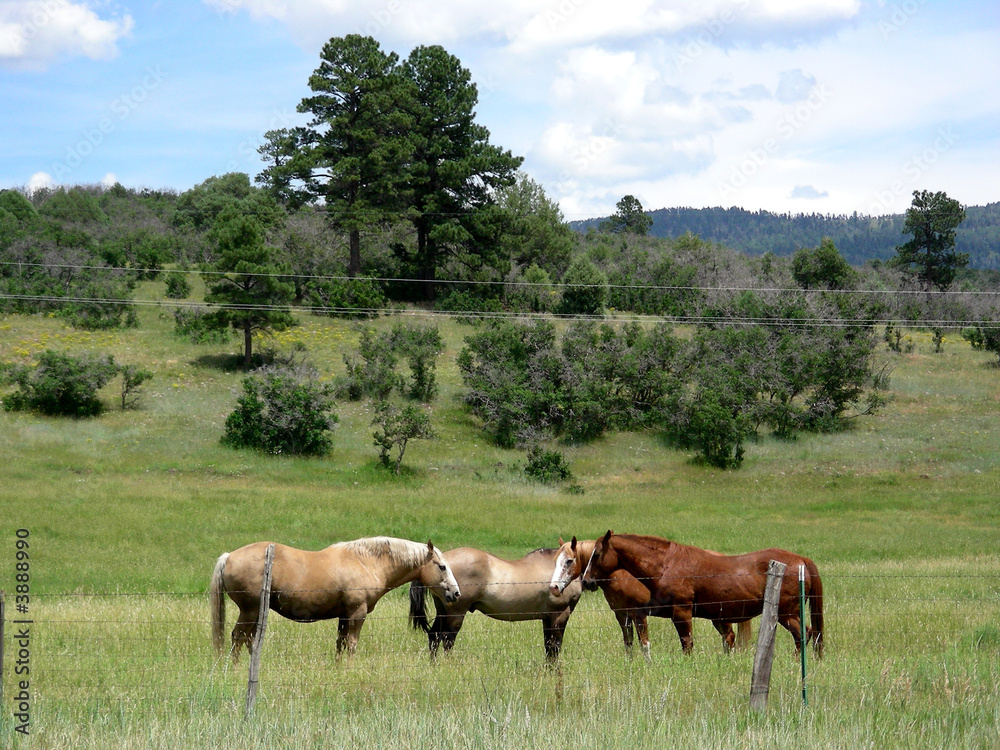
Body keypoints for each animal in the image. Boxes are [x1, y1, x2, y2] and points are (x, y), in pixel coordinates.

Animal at [213, 536, 462, 660]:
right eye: (442, 566)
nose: (456, 593)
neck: (366, 561)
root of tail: (229, 556)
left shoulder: (344, 616)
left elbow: (340, 644)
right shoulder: (357, 613)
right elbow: (351, 644)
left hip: (255, 612)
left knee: (247, 639)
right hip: (250, 610)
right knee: (238, 637)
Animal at [408, 548, 584, 664]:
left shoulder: (547, 618)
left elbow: (549, 647)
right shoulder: (560, 615)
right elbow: (555, 646)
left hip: (443, 612)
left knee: (434, 636)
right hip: (455, 613)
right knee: (447, 639)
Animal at [548, 536, 752, 660]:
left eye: (569, 561)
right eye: (556, 561)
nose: (554, 588)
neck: (619, 574)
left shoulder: (639, 614)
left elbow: (644, 644)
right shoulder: (622, 615)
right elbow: (628, 644)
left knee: (729, 638)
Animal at [568, 536, 824, 656]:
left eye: (597, 555)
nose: (587, 580)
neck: (666, 564)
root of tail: (800, 560)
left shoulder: (680, 614)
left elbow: (686, 643)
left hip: (786, 614)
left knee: (804, 633)